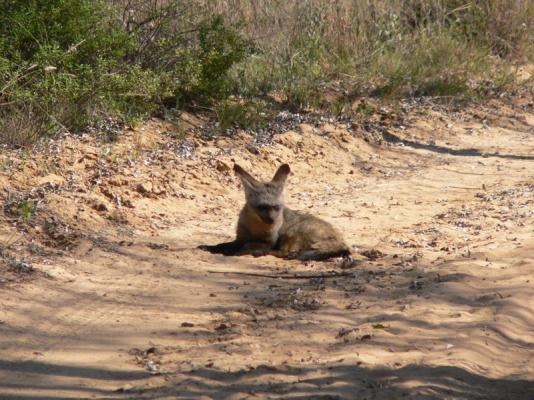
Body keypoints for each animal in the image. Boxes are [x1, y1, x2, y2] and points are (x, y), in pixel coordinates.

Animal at [200, 163, 352, 260]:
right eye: (261, 207)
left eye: (277, 207)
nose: (272, 220)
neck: (256, 229)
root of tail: (342, 241)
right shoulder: (241, 238)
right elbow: (224, 244)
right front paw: (209, 247)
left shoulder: (269, 241)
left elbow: (247, 246)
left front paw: (239, 252)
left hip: (292, 232)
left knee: (285, 253)